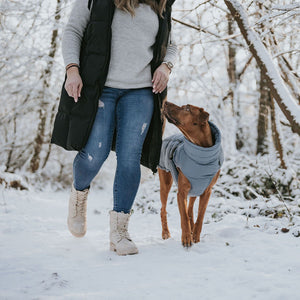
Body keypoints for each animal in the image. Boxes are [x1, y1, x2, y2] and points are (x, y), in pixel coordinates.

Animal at [159, 102, 223, 247]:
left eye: (187, 108)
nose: (165, 103)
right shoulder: (181, 192)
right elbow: (183, 216)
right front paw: (187, 237)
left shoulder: (207, 191)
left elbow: (200, 216)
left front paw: (196, 236)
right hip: (165, 183)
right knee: (163, 210)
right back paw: (165, 233)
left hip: (196, 188)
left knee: (190, 209)